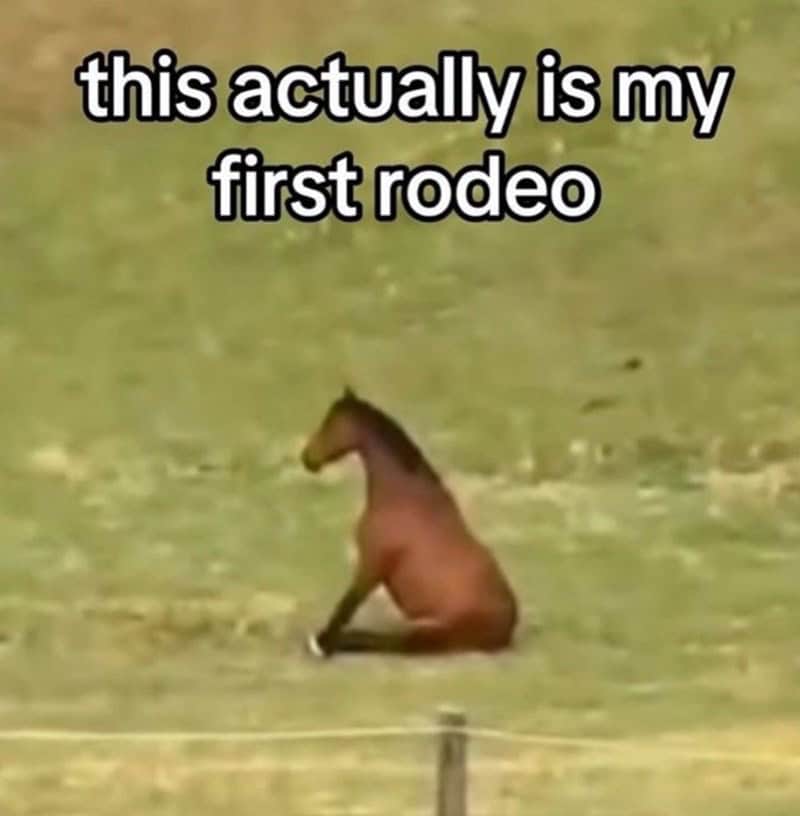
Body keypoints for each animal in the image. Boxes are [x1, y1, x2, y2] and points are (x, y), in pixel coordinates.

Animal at [300, 387, 519, 656]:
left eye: (331, 422)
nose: (307, 458)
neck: (401, 497)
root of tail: (509, 623)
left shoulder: (371, 566)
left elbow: (346, 608)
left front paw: (322, 644)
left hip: (433, 632)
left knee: (391, 642)